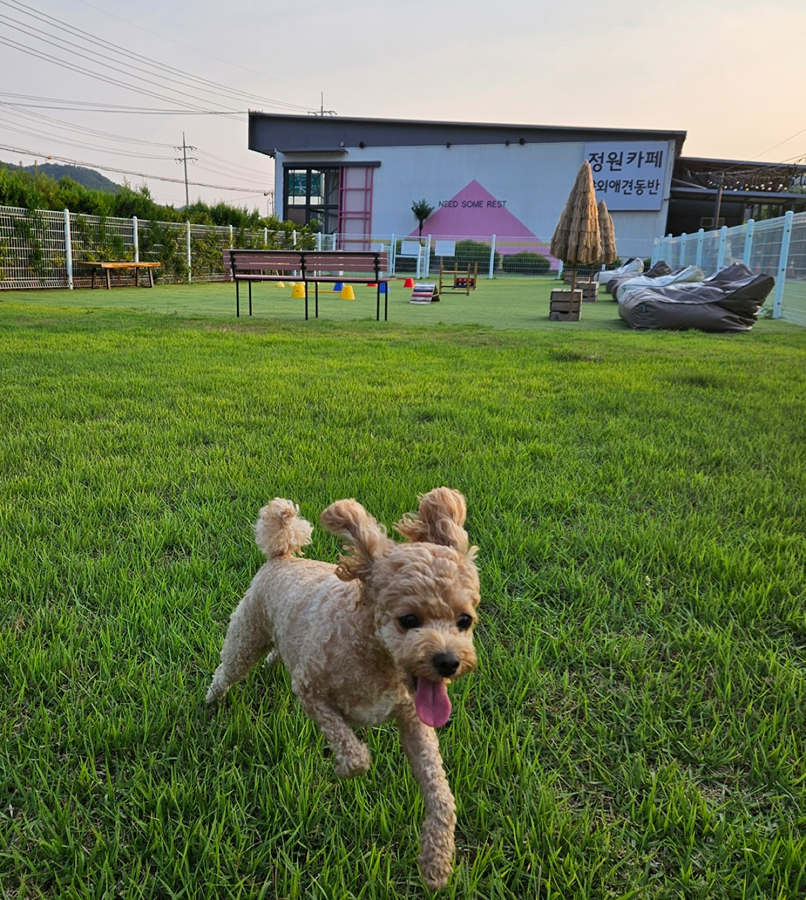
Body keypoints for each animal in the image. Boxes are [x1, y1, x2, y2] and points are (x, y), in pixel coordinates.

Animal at [207, 488, 480, 888]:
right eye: (407, 619)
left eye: (464, 620)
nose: (448, 662)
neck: (374, 655)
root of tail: (283, 556)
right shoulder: (310, 689)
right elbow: (354, 752)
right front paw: (345, 767)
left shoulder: (414, 721)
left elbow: (440, 793)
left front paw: (436, 860)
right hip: (246, 634)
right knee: (227, 671)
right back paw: (211, 701)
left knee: (275, 651)